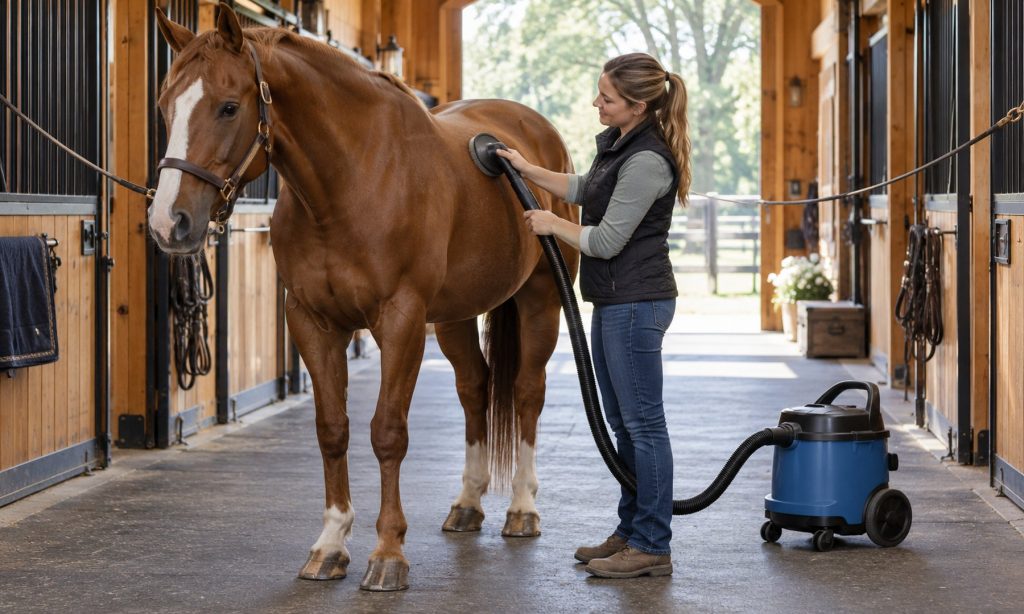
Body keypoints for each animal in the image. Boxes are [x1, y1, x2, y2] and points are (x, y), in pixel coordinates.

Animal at [150, 4, 578, 592]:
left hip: (541, 301)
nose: (168, 223)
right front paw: (330, 544)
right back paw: (467, 504)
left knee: (526, 392)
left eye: (229, 106)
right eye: (165, 107)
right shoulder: (311, 321)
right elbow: (333, 429)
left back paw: (521, 508)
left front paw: (388, 554)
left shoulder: (401, 321)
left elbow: (387, 433)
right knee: (475, 389)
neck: (351, 181)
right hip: (456, 317)